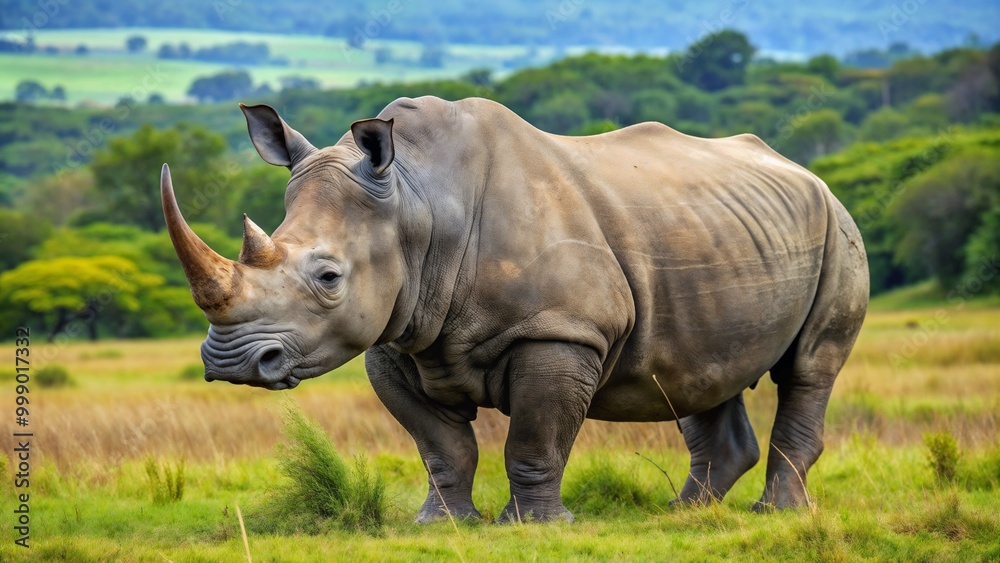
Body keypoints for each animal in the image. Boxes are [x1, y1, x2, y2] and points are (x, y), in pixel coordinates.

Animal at [160, 96, 868, 522]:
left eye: (330, 277)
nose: (230, 364)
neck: (417, 200)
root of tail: (803, 171)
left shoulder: (561, 331)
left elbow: (535, 436)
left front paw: (537, 525)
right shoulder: (396, 337)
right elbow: (441, 446)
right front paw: (441, 524)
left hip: (836, 222)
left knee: (809, 366)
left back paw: (775, 514)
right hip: (710, 230)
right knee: (693, 370)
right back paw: (685, 516)